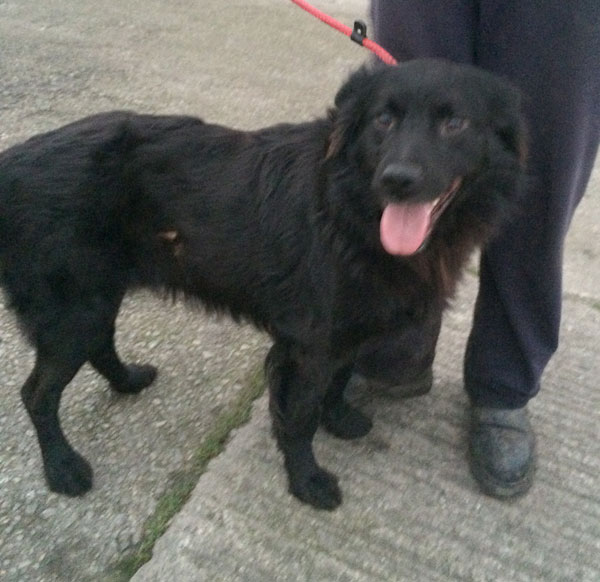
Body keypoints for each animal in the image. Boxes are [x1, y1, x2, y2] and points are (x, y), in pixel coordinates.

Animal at [0, 60, 524, 512]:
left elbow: (337, 384)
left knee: (100, 345)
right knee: (37, 393)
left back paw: (127, 382)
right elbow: (299, 415)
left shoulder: (345, 333)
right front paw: (306, 480)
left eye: (455, 122)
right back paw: (63, 468)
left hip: (94, 298)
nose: (397, 180)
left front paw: (338, 420)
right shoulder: (309, 345)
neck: (346, 209)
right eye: (383, 119)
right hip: (74, 307)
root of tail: (12, 161)